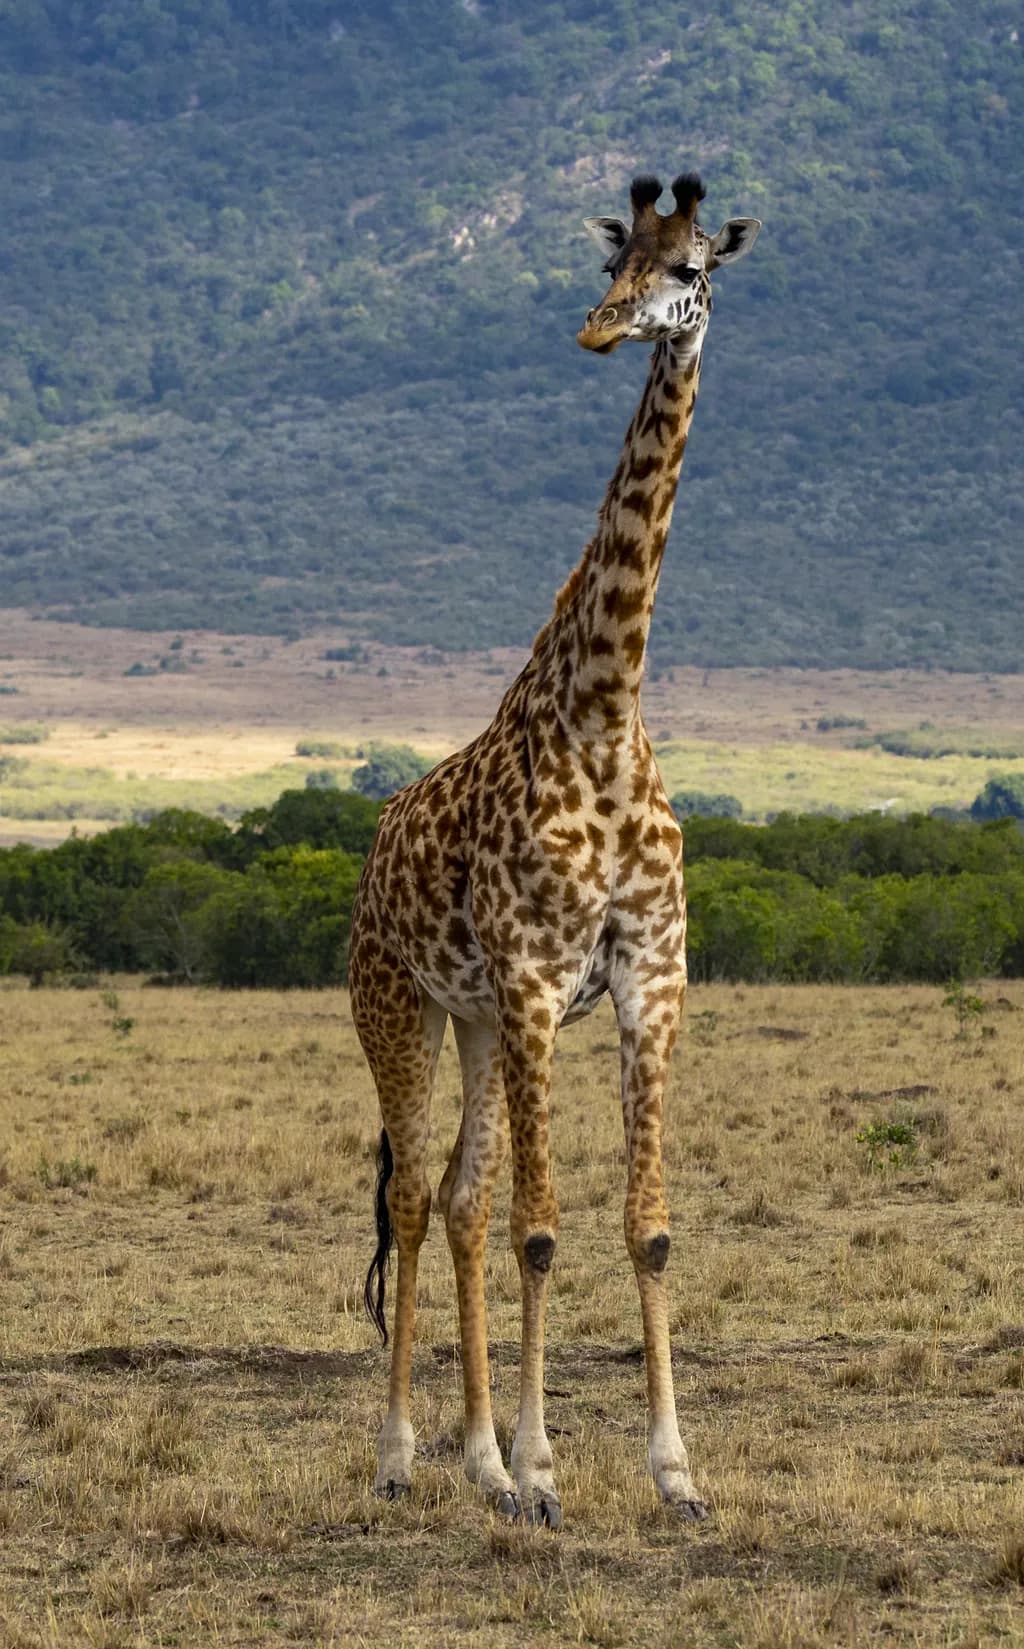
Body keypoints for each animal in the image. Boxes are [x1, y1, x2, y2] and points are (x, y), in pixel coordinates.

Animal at [349, 171, 760, 1529]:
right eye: (617, 253)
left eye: (694, 265)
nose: (602, 326)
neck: (605, 709)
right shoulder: (533, 979)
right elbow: (544, 1224)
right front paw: (542, 1470)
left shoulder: (650, 978)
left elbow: (646, 1225)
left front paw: (675, 1472)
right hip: (402, 1004)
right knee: (415, 1196)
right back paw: (406, 1454)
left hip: (476, 1024)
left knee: (460, 1197)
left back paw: (473, 1456)